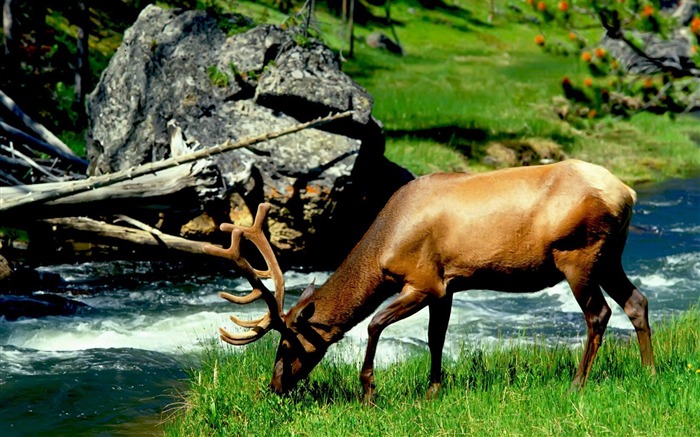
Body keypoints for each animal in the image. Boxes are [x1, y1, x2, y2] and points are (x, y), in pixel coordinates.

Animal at [202, 158, 656, 400]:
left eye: (287, 343)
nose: (274, 385)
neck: (384, 245)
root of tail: (628, 192)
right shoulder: (448, 284)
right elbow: (437, 337)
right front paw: (433, 390)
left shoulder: (423, 281)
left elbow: (374, 324)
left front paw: (369, 392)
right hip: (609, 256)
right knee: (637, 301)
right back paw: (650, 370)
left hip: (579, 255)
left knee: (598, 314)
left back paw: (577, 383)